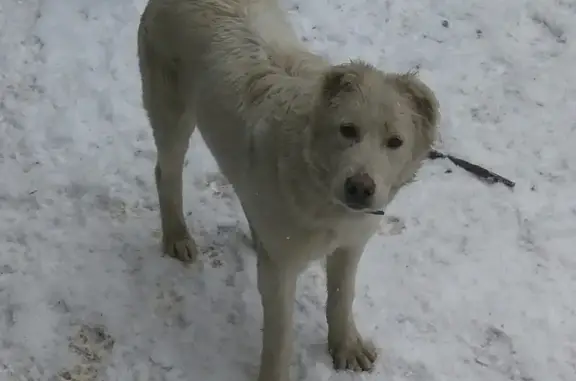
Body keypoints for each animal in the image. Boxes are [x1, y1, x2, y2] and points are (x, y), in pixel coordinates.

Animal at [137, 0, 438, 378]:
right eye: (348, 130)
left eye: (395, 142)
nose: (359, 187)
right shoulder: (280, 271)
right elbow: (280, 335)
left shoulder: (350, 245)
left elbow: (342, 295)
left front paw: (346, 345)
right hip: (172, 114)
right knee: (166, 172)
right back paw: (177, 235)